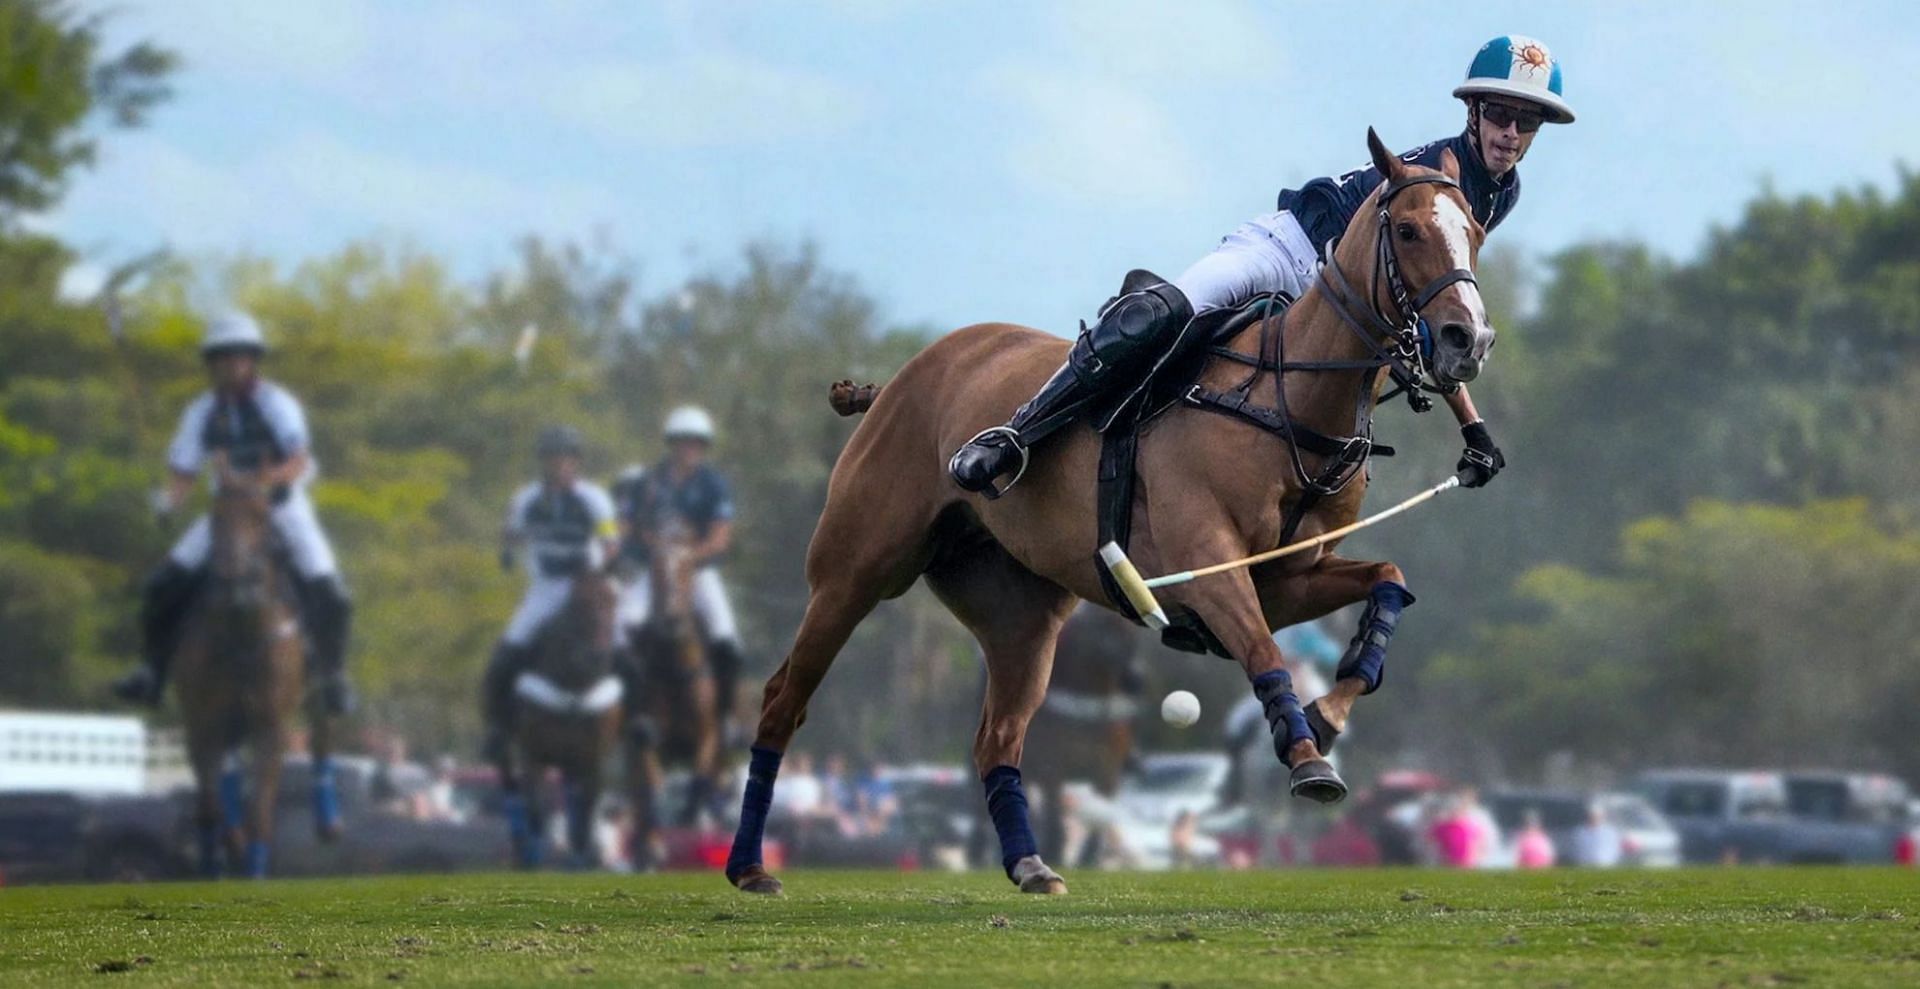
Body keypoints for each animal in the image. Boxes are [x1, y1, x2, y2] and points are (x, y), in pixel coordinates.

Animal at [172, 474, 341, 883]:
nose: (234, 577)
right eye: (215, 516)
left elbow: (260, 810)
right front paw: (217, 856)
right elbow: (209, 805)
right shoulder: (201, 721)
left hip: (316, 698)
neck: (241, 630)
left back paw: (327, 823)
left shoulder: (272, 725)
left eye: (262, 518)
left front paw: (252, 866)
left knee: (322, 740)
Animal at [495, 572, 622, 868]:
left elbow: (585, 816)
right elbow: (536, 811)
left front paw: (583, 859)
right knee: (510, 785)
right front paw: (534, 857)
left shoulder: (592, 760)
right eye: (580, 603)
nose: (598, 657)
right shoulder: (533, 755)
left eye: (614, 602)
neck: (572, 687)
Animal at [629, 518, 725, 868]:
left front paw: (691, 815)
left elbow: (698, 780)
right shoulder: (646, 743)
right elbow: (652, 785)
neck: (674, 670)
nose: (671, 620)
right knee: (640, 799)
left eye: (688, 567)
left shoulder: (708, 736)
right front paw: (653, 844)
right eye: (655, 568)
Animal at [725, 127, 1489, 894]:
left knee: (997, 736)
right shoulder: (1210, 564)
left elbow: (1386, 579)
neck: (1289, 399)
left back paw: (1031, 865)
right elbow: (1266, 651)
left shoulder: (1283, 578)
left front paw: (1326, 714)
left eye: (1476, 232)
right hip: (853, 570)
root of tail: (893, 383)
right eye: (1407, 229)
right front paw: (1308, 759)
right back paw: (750, 867)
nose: (1467, 339)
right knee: (782, 698)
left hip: (1019, 616)